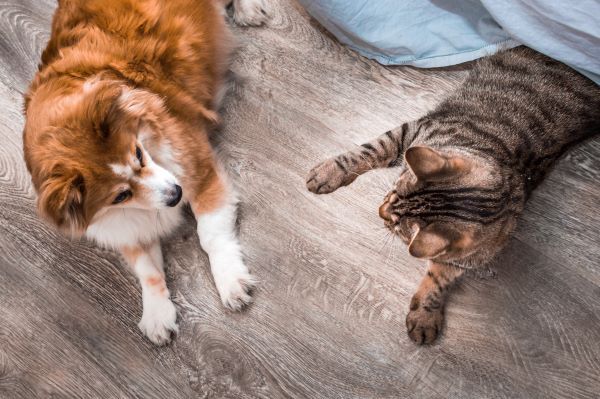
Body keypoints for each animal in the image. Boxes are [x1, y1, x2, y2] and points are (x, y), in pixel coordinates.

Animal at [21, 0, 270, 344]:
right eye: (120, 196)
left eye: (138, 154)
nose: (177, 195)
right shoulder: (125, 224)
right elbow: (147, 269)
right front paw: (156, 313)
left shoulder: (200, 171)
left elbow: (210, 235)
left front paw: (231, 280)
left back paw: (249, 9)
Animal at [308, 47, 596, 346]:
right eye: (393, 190)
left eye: (396, 227)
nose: (380, 210)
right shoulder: (411, 131)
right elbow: (370, 149)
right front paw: (329, 172)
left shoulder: (463, 257)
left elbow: (438, 281)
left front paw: (425, 314)